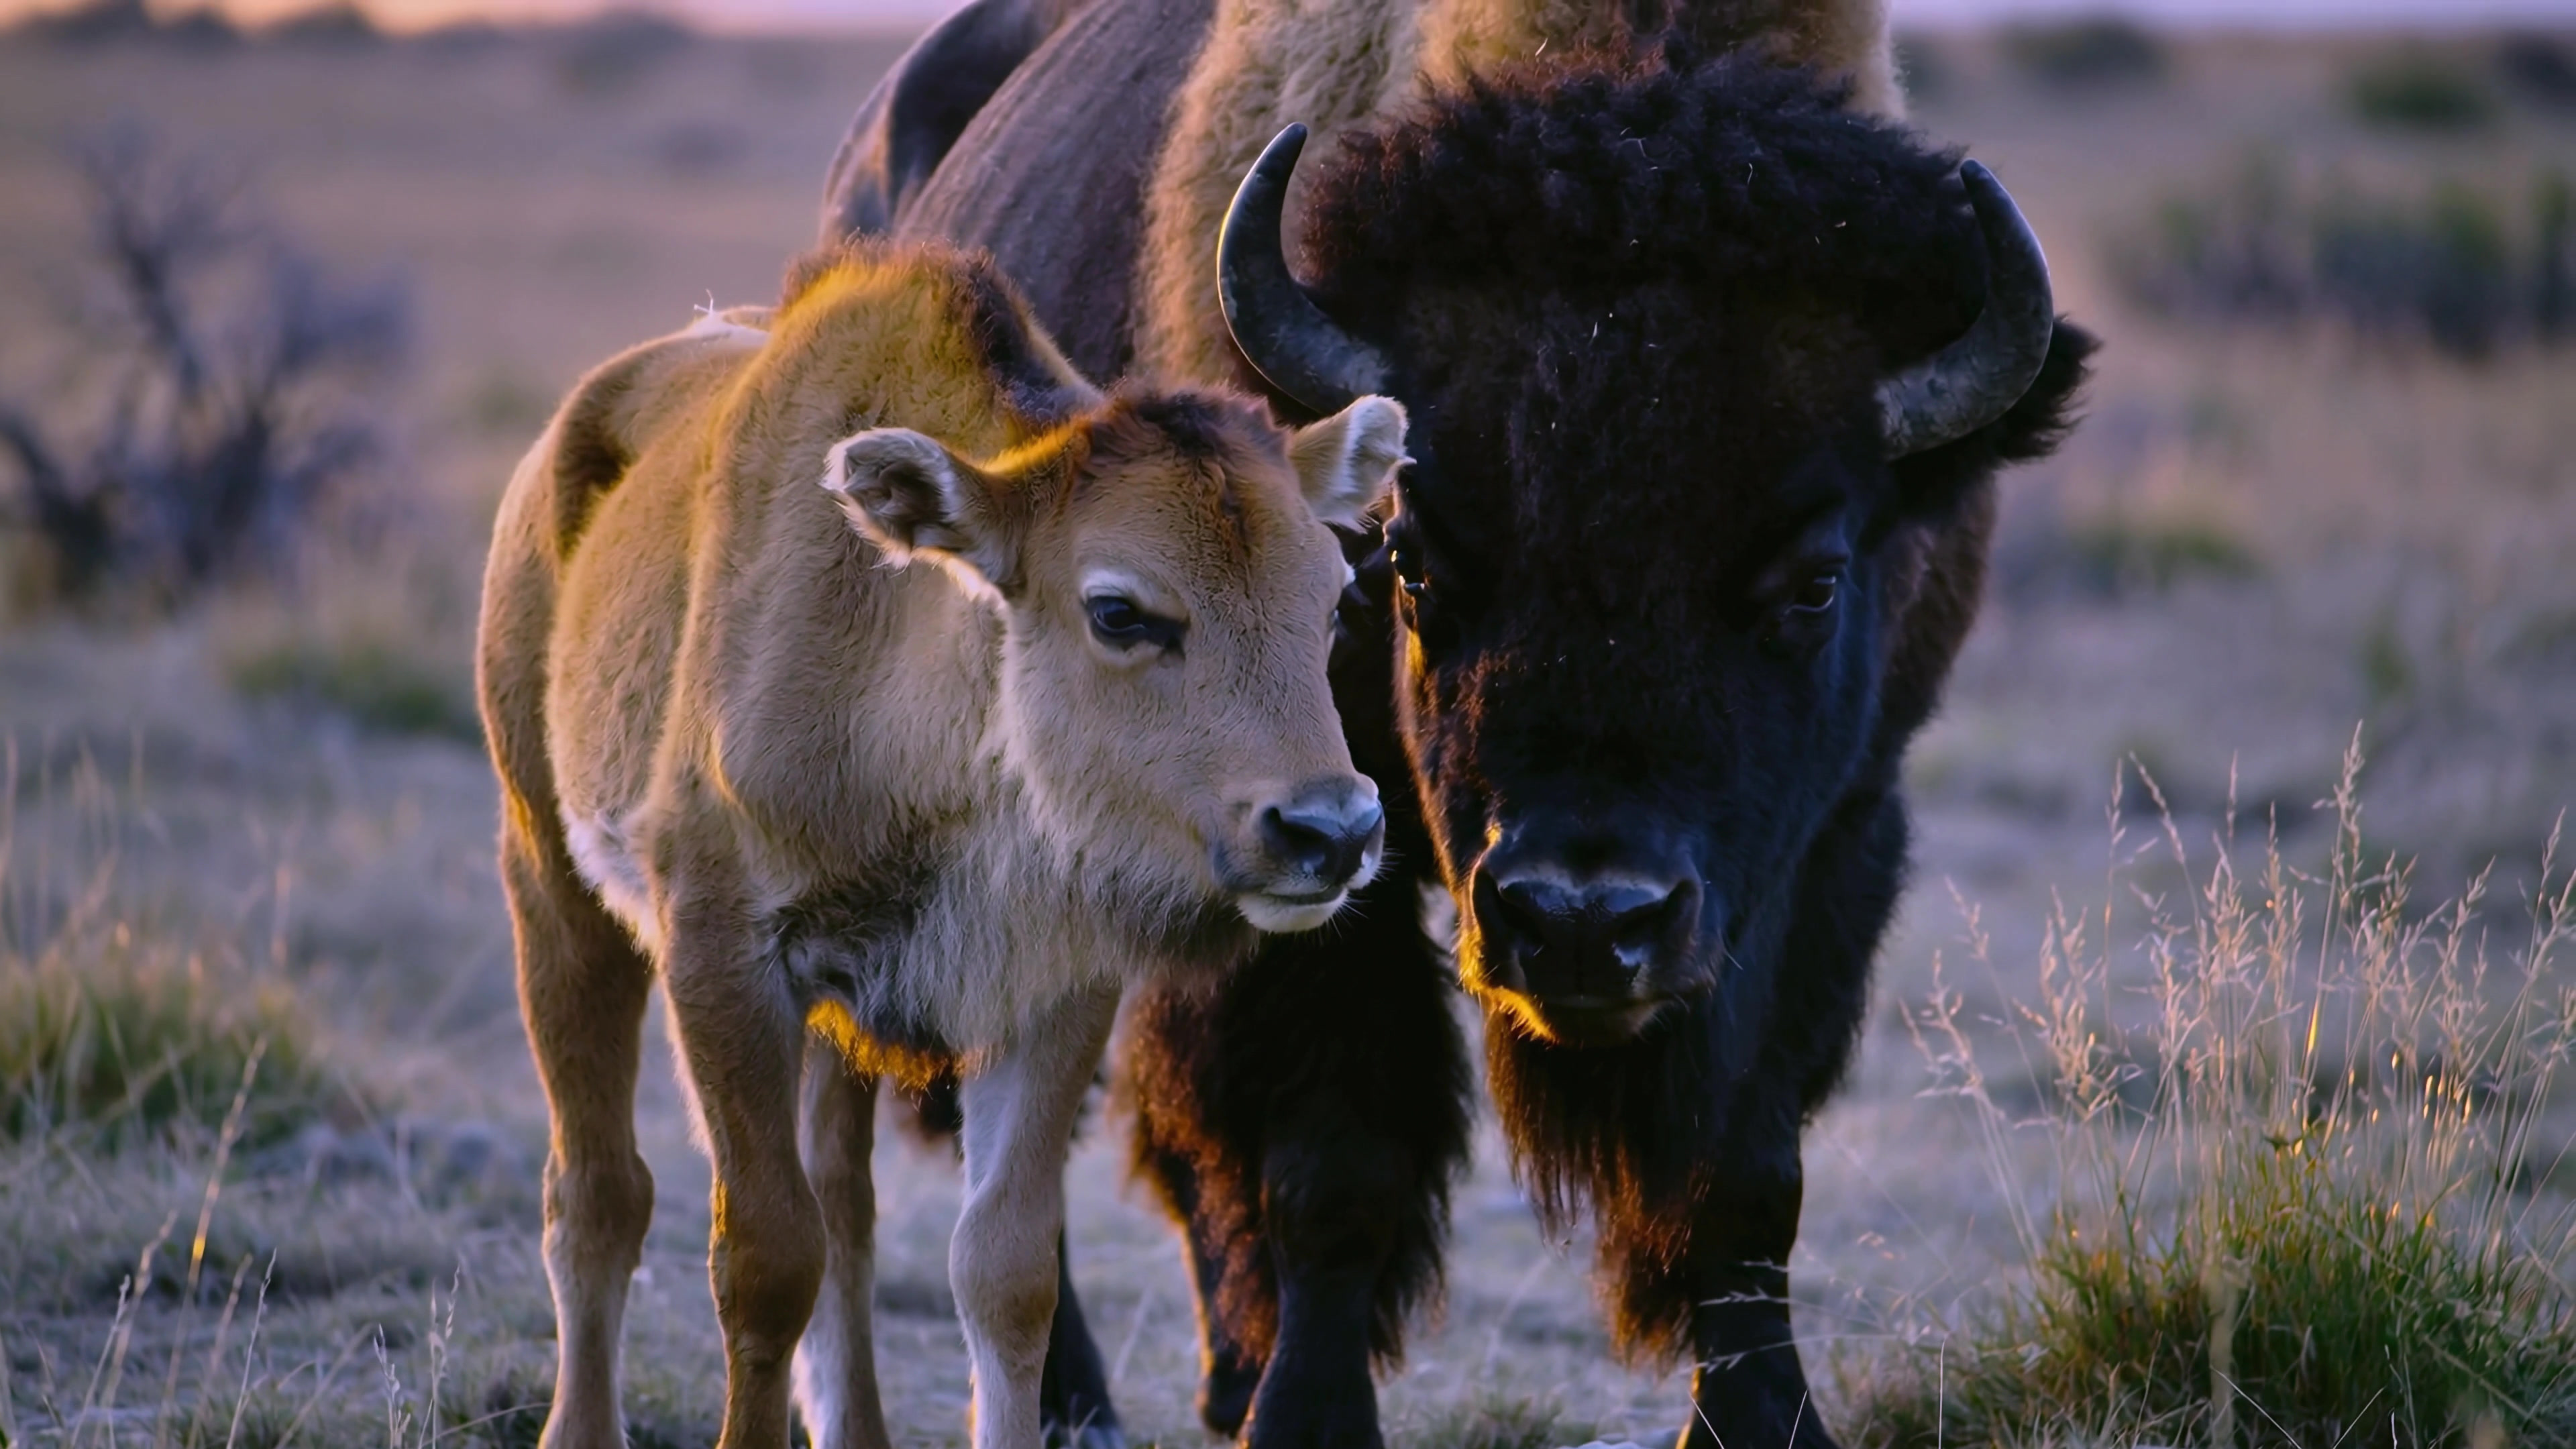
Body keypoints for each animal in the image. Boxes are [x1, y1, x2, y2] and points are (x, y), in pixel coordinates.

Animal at [474, 238, 1410, 1449]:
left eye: (1336, 598)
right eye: (1119, 611)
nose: (1330, 830)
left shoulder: (1053, 989)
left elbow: (1002, 1273)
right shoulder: (723, 958)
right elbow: (765, 1258)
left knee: (842, 1203)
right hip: (549, 883)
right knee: (597, 1191)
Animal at [820, 6, 2094, 1447]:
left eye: (1816, 581)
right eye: (1414, 559)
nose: (1581, 920)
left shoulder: (1834, 845)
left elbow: (1747, 1173)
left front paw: (1769, 1417)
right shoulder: (1311, 862)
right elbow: (1337, 1160)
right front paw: (1308, 1418)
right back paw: (1080, 1403)